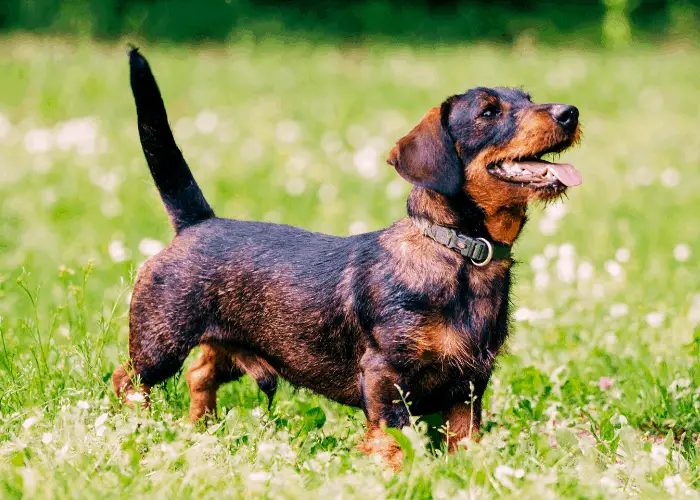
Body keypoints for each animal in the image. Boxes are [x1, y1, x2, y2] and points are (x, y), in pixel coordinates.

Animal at [113, 47, 580, 468]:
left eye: (528, 98)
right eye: (488, 112)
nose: (570, 112)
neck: (458, 254)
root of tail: (197, 222)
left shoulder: (469, 386)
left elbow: (465, 441)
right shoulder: (384, 373)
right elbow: (393, 436)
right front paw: (392, 475)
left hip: (228, 345)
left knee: (200, 375)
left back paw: (202, 429)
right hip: (159, 346)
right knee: (127, 379)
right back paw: (136, 427)